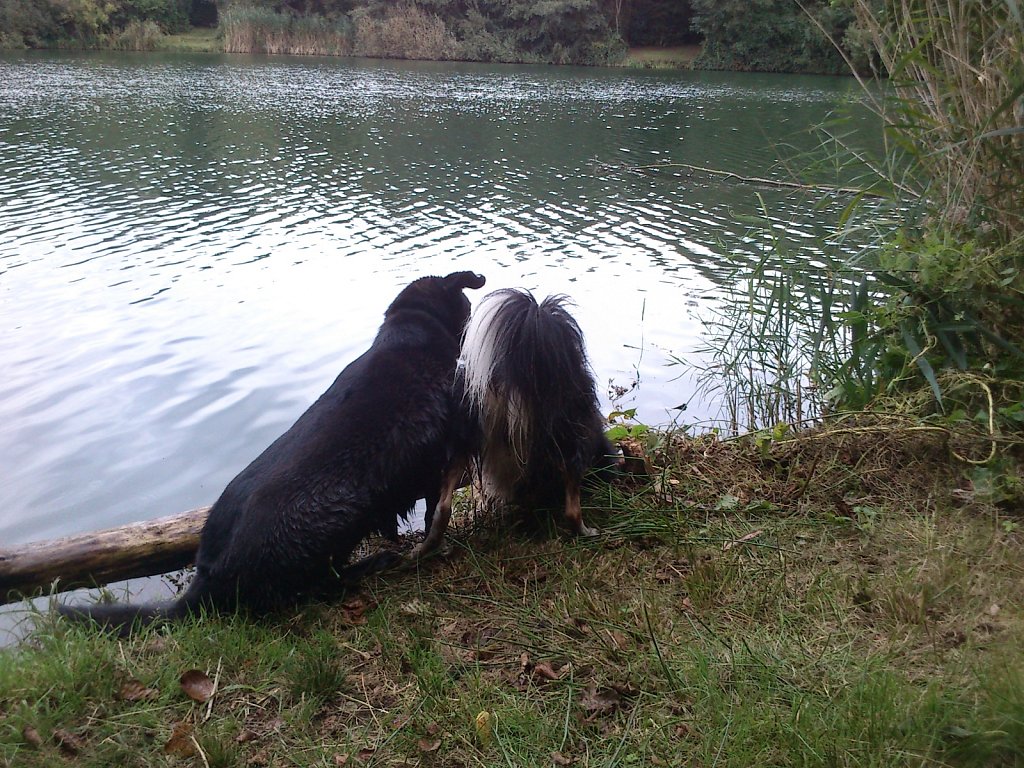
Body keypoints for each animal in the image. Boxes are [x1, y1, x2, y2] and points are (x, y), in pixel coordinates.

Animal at [59, 274, 483, 634]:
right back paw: (372, 564)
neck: (413, 334)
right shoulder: (436, 455)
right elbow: (434, 507)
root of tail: (207, 577)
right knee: (320, 585)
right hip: (340, 517)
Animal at [411, 288, 618, 561]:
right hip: (570, 440)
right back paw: (585, 530)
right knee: (572, 506)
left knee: (442, 507)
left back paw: (426, 546)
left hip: (463, 441)